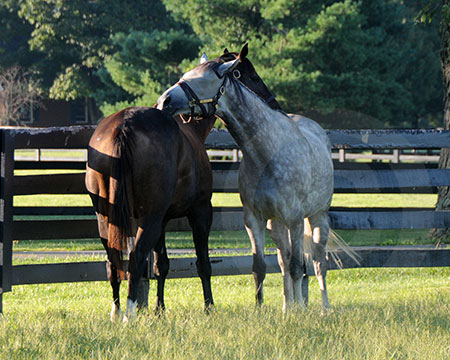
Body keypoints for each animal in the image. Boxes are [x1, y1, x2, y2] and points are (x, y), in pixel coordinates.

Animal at [85, 51, 278, 320]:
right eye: (252, 76)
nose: (273, 104)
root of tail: (125, 126)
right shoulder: (200, 211)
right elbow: (203, 263)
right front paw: (209, 306)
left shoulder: (163, 220)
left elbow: (161, 265)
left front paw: (159, 308)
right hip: (149, 218)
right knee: (135, 258)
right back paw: (129, 313)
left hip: (106, 217)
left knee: (113, 261)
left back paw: (116, 311)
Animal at [156, 44, 336, 310]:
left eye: (201, 80)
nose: (163, 101)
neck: (267, 154)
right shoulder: (255, 220)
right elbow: (260, 267)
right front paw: (261, 310)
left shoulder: (294, 219)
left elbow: (297, 267)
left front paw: (300, 313)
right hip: (276, 225)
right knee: (284, 261)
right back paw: (288, 307)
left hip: (317, 217)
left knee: (317, 262)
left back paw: (322, 309)